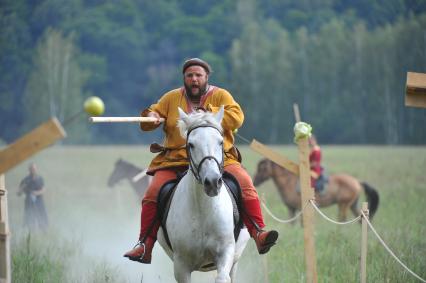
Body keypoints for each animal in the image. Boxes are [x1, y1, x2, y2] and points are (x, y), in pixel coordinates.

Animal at [156, 107, 250, 283]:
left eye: (220, 142)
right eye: (191, 144)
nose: (212, 182)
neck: (203, 210)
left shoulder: (226, 252)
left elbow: (222, 278)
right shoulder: (181, 265)